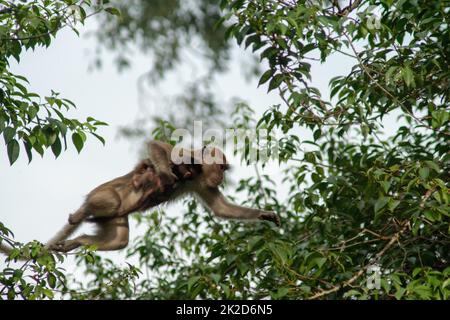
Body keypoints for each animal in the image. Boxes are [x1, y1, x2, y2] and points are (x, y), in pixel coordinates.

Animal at [0, 140, 282, 255]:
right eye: (221, 167)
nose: (222, 176)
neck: (198, 171)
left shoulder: (203, 182)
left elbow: (221, 209)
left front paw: (264, 214)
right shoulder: (188, 159)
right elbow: (158, 147)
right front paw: (164, 177)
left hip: (113, 218)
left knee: (119, 240)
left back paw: (79, 241)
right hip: (101, 193)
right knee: (109, 200)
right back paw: (81, 213)